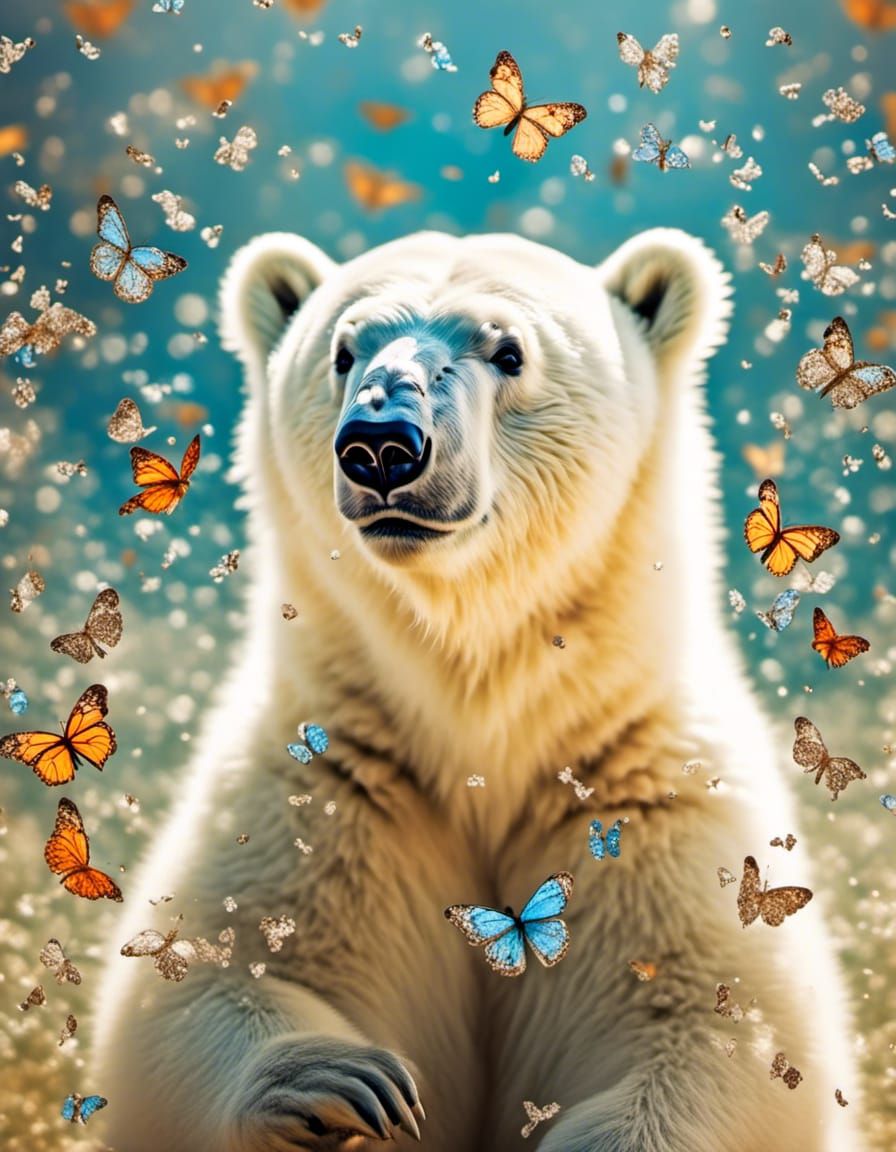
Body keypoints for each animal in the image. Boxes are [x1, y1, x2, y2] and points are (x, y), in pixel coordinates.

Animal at [93, 228, 864, 1152]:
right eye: (343, 351)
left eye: (507, 351)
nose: (381, 445)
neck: (478, 715)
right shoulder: (330, 790)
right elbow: (192, 982)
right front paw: (343, 1086)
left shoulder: (644, 807)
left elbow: (722, 1028)